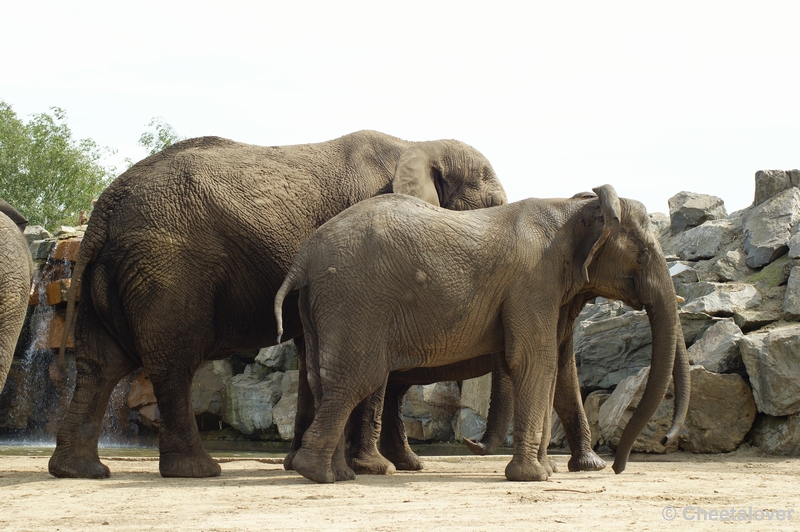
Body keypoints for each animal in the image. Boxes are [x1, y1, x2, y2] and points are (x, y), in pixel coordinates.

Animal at [48, 131, 506, 480]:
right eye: (493, 206)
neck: (417, 145)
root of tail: (103, 211)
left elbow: (311, 358)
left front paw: (298, 463)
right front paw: (374, 470)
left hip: (114, 271)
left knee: (99, 364)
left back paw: (80, 471)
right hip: (167, 267)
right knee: (171, 361)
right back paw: (197, 471)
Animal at [276, 186, 688, 482]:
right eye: (644, 255)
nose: (619, 467)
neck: (573, 209)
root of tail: (305, 256)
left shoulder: (555, 289)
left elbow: (558, 368)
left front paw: (559, 471)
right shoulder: (533, 280)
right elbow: (534, 360)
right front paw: (535, 476)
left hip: (325, 304)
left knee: (325, 378)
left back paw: (338, 473)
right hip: (356, 301)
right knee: (359, 377)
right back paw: (323, 475)